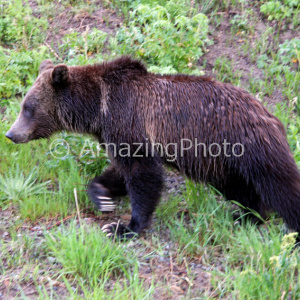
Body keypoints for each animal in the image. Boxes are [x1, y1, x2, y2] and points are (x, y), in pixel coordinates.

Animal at [5, 55, 300, 239]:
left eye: (28, 108)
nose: (10, 134)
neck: (98, 109)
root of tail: (270, 114)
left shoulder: (129, 121)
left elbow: (143, 174)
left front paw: (124, 228)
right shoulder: (118, 134)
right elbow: (121, 170)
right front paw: (102, 196)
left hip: (246, 145)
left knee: (281, 185)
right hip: (221, 163)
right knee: (239, 187)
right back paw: (247, 216)